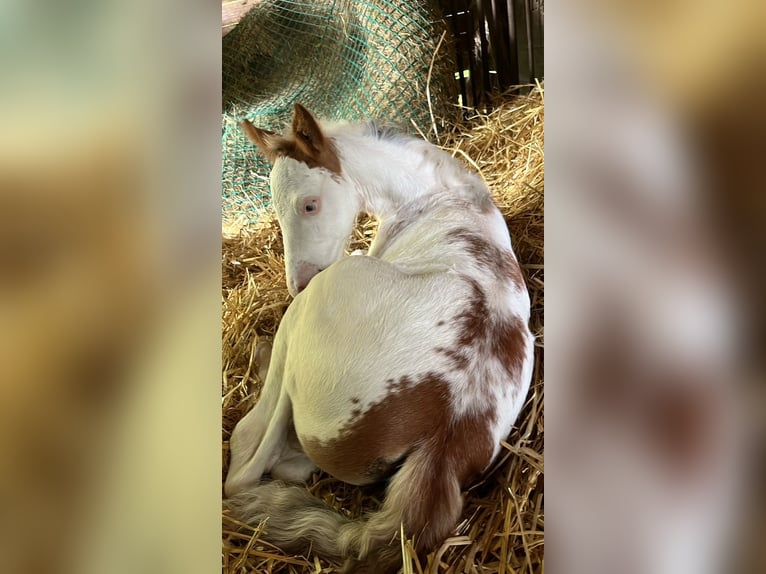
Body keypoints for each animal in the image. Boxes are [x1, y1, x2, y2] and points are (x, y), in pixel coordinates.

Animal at [224, 104, 535, 573]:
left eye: (309, 204)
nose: (299, 283)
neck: (437, 198)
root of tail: (446, 439)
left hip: (327, 295)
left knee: (245, 456)